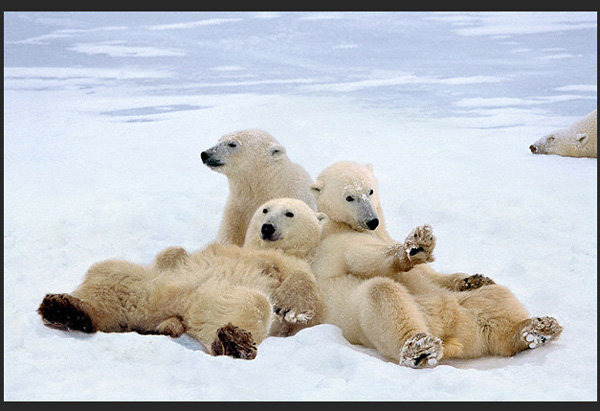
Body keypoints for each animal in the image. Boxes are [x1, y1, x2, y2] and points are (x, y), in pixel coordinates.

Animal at [310, 162, 564, 370]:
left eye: (370, 190)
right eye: (349, 197)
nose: (372, 220)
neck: (340, 225)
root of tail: (452, 333)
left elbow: (431, 276)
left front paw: (473, 279)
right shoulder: (338, 243)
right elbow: (367, 260)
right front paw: (414, 248)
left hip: (464, 307)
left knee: (496, 298)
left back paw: (536, 330)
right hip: (368, 318)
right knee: (382, 293)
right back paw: (419, 349)